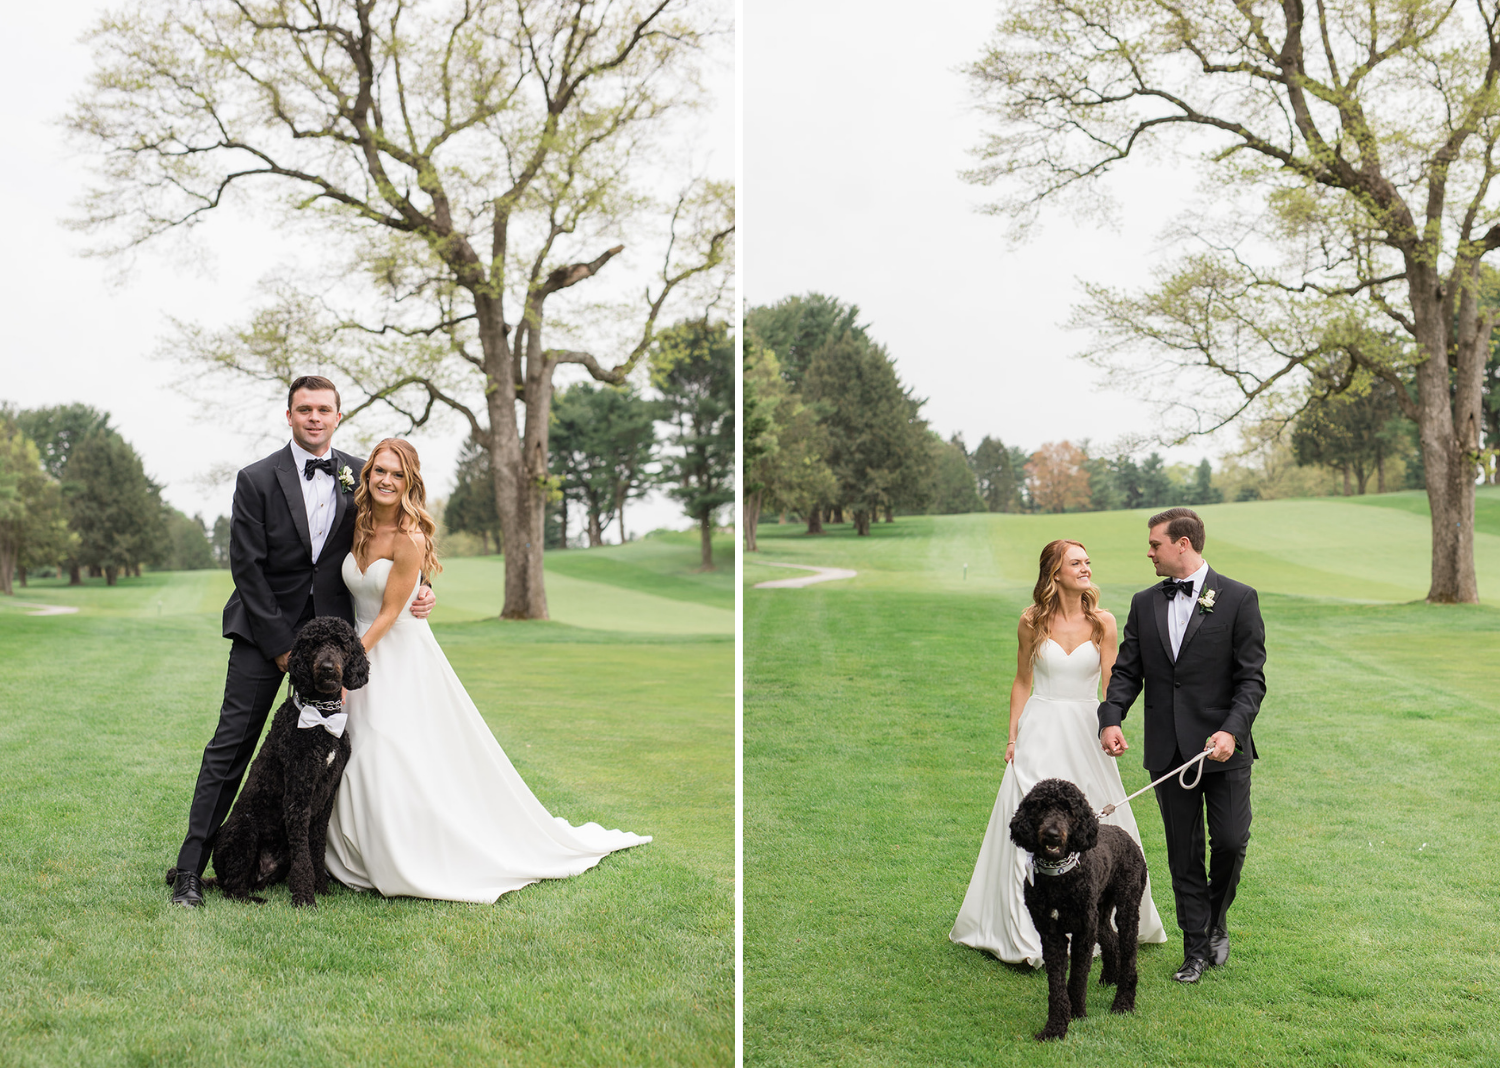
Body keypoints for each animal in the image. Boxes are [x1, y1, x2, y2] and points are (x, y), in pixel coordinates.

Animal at [168, 618, 369, 912]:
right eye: (313, 645)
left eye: (341, 644)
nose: (327, 668)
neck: (320, 717)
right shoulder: (298, 793)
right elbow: (303, 856)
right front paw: (305, 898)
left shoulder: (326, 798)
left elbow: (316, 848)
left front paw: (321, 888)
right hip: (244, 833)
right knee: (232, 888)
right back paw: (252, 899)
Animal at [1008, 780, 1146, 1038]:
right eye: (1041, 807)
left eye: (1068, 810)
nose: (1052, 834)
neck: (1059, 877)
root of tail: (1124, 834)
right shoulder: (1051, 934)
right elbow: (1056, 985)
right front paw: (1054, 1027)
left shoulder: (1083, 933)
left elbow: (1077, 977)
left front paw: (1077, 1014)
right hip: (1099, 912)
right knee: (1110, 938)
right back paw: (1109, 978)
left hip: (1127, 908)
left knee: (1129, 955)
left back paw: (1123, 1002)